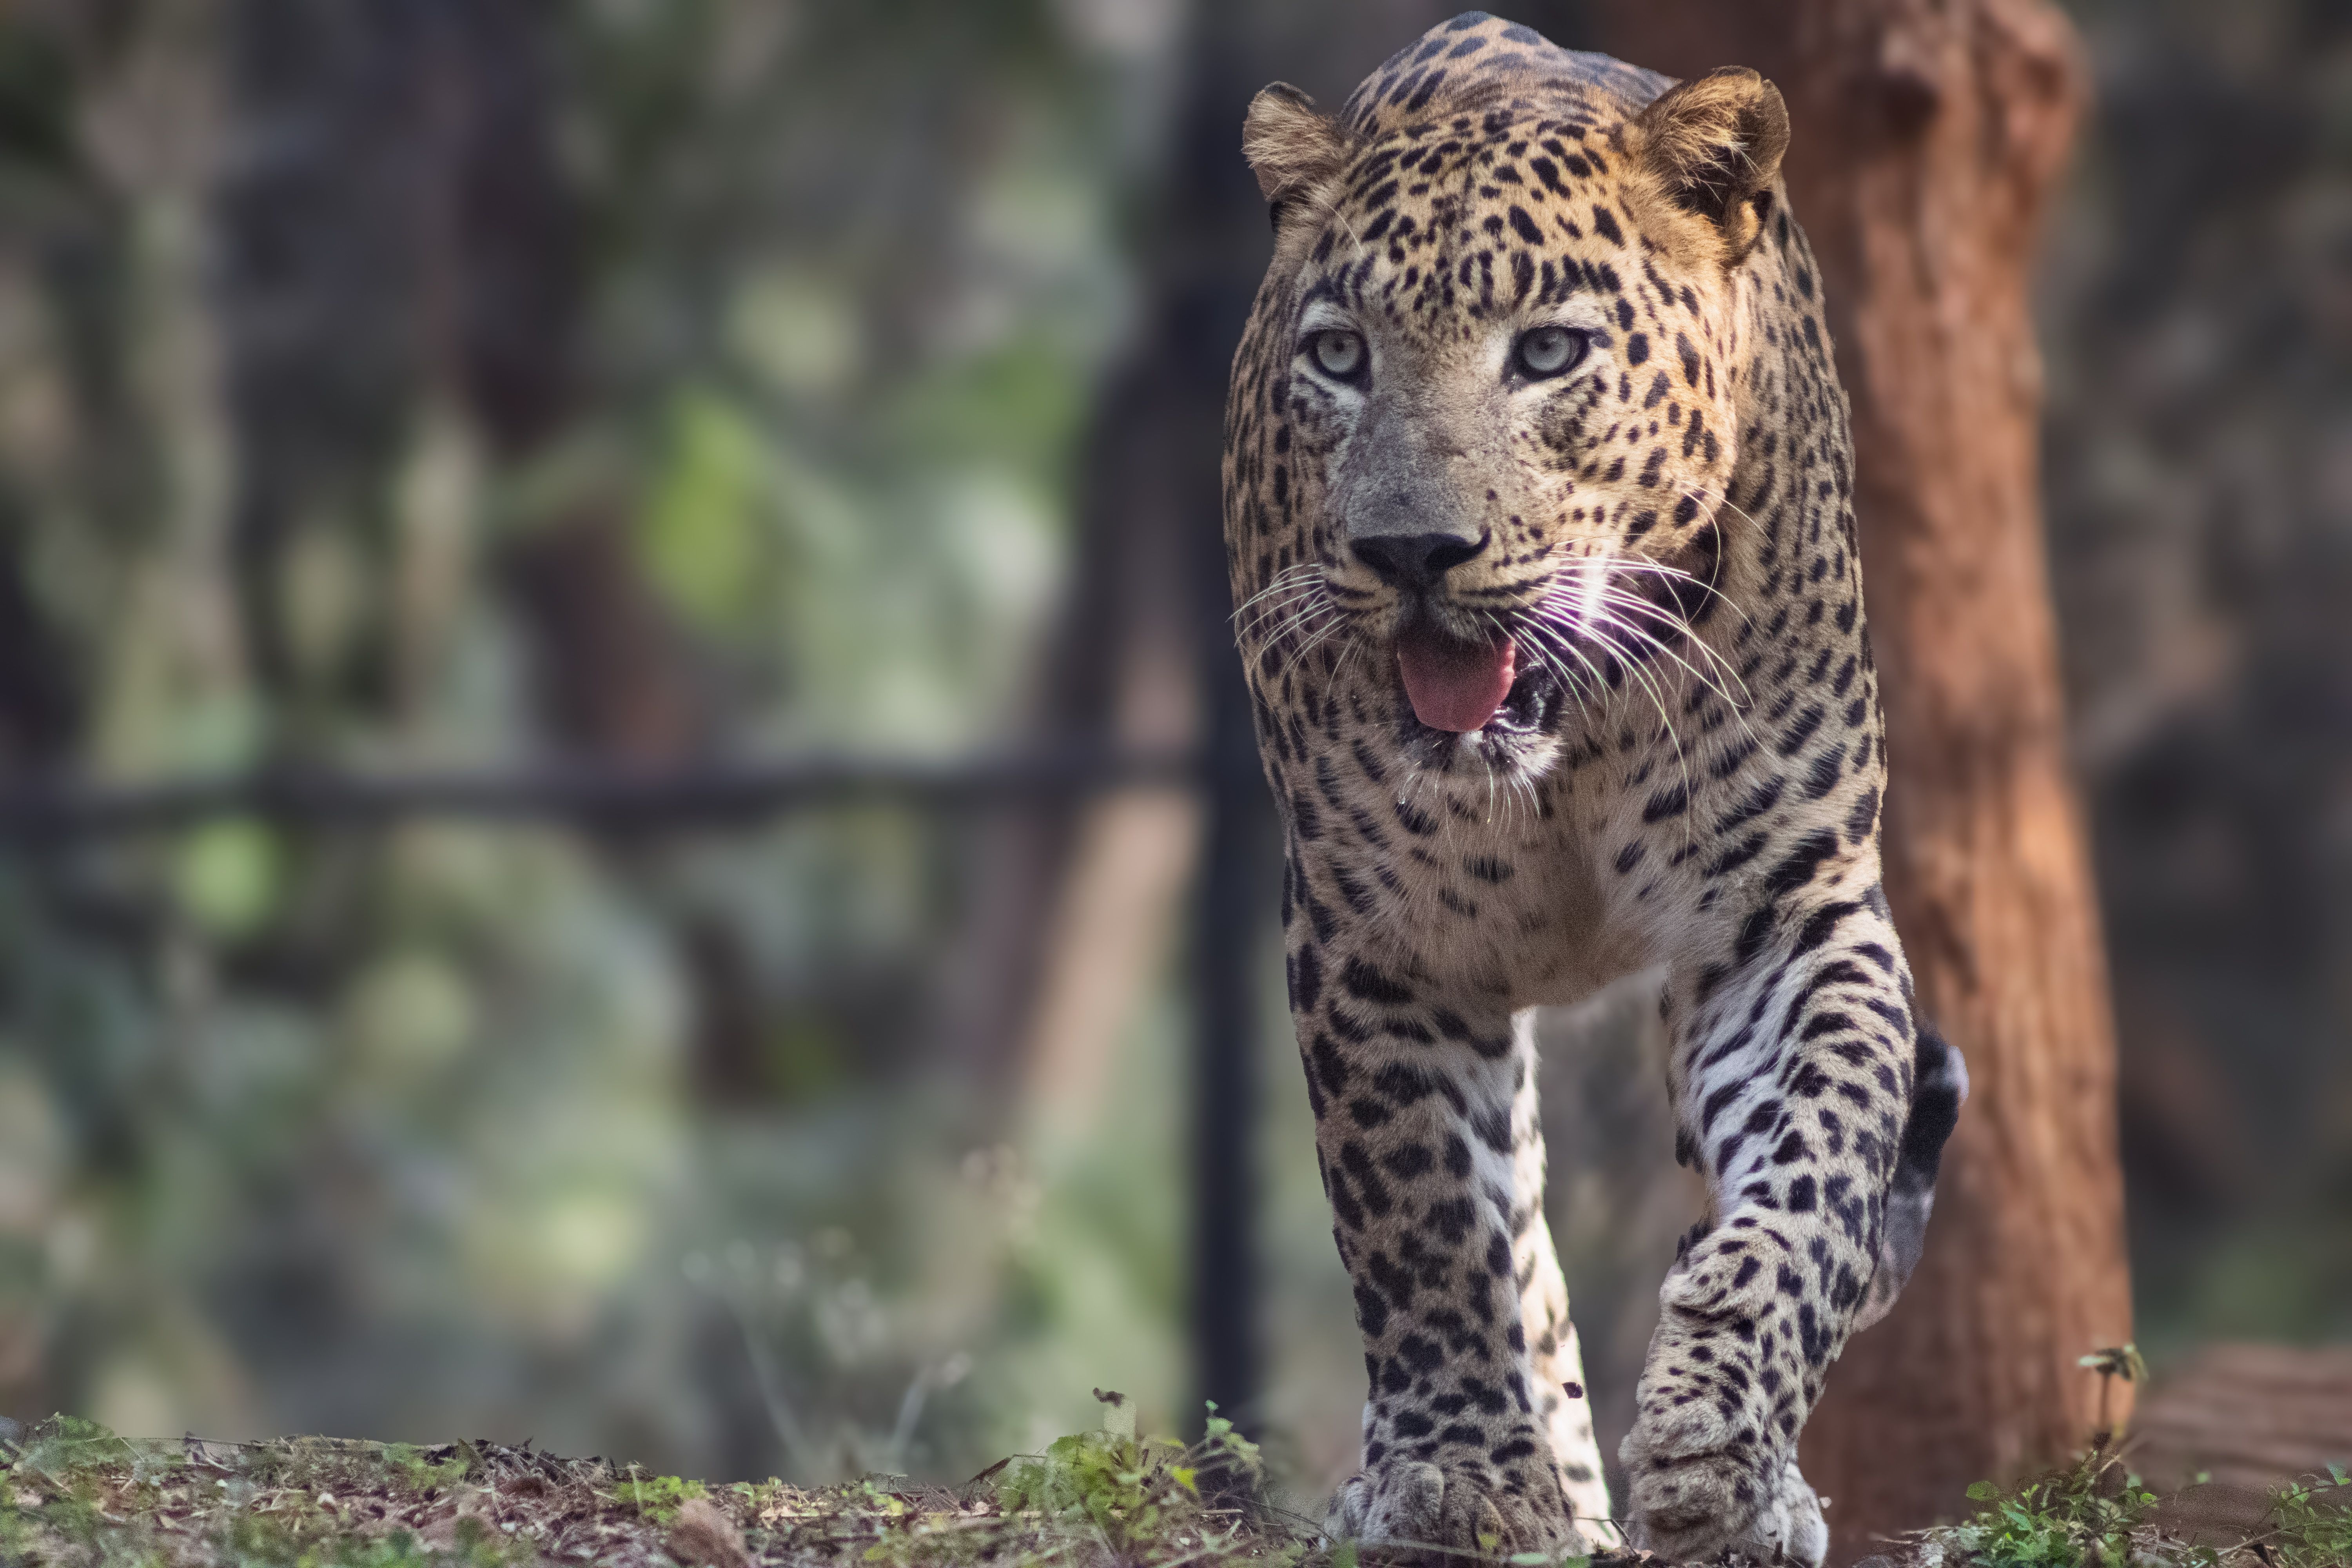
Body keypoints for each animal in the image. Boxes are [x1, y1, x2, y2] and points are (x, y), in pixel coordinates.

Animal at [1219, 13, 1969, 1565]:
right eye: (1339, 356)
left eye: (1549, 353)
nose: (1410, 552)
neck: (1568, 744)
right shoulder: (1376, 935)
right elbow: (1422, 1212)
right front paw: (1455, 1474)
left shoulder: (1783, 911)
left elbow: (1820, 1157)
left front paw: (1721, 1444)